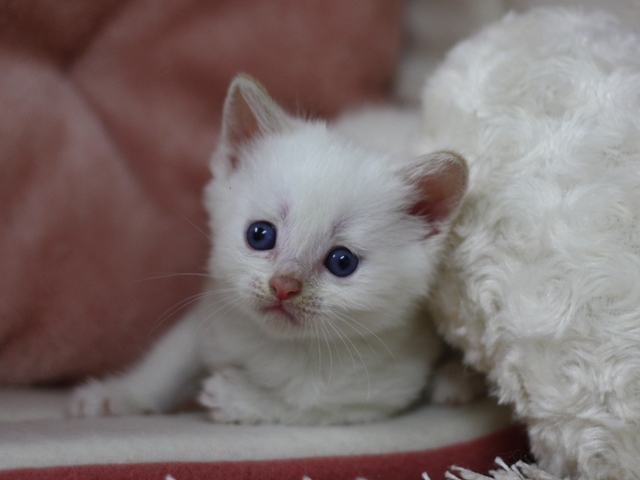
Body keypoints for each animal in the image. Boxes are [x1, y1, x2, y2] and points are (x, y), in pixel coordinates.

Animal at [71, 74, 470, 424]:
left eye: (342, 262)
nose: (283, 286)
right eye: (260, 235)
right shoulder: (214, 309)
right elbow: (168, 362)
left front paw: (238, 397)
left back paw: (455, 380)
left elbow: (308, 402)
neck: (277, 344)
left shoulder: (381, 388)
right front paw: (117, 395)